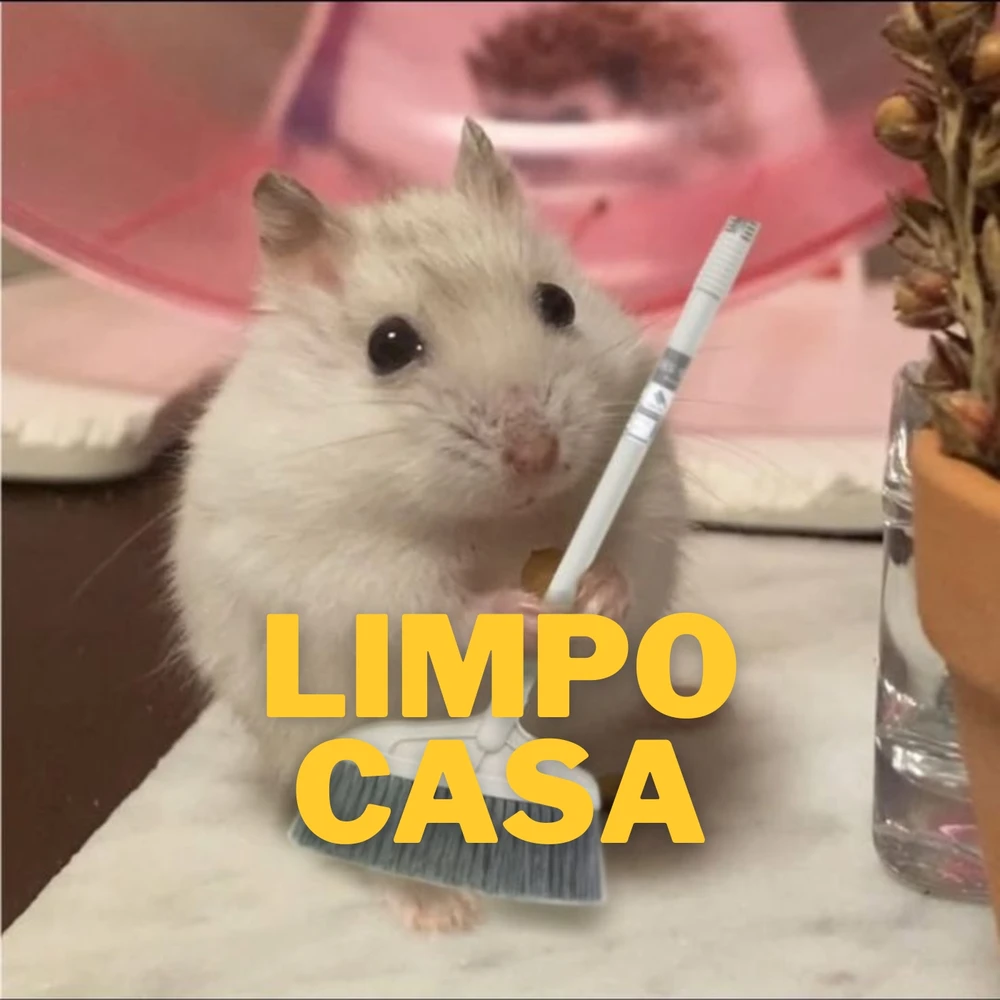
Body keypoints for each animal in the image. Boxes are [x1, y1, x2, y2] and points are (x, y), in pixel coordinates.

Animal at [168, 118, 688, 933]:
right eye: (388, 345)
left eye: (559, 303)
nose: (538, 454)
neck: (502, 523)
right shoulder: (346, 568)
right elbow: (433, 608)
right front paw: (522, 615)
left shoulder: (648, 486)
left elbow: (629, 551)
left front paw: (598, 597)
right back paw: (442, 910)